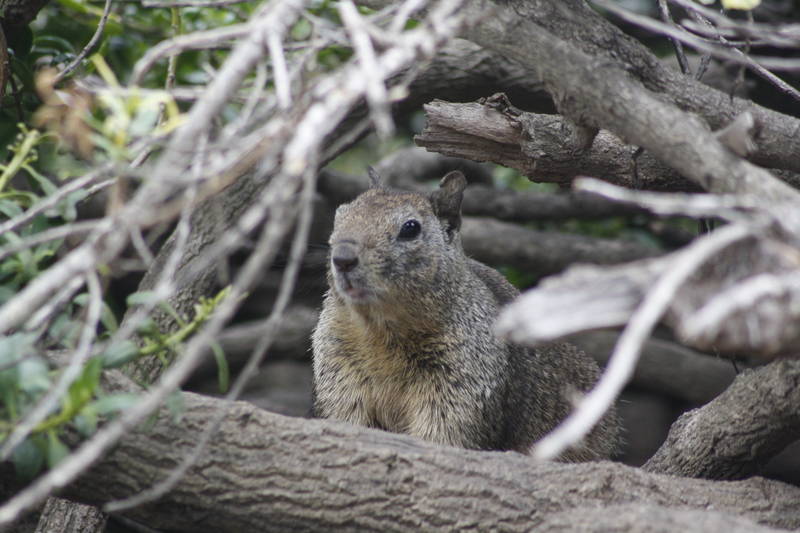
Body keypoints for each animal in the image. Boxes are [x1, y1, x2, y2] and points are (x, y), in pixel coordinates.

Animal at [311, 169, 619, 461]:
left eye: (410, 228)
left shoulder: (462, 381)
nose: (342, 258)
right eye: (340, 214)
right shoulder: (340, 369)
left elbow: (444, 433)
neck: (381, 330)